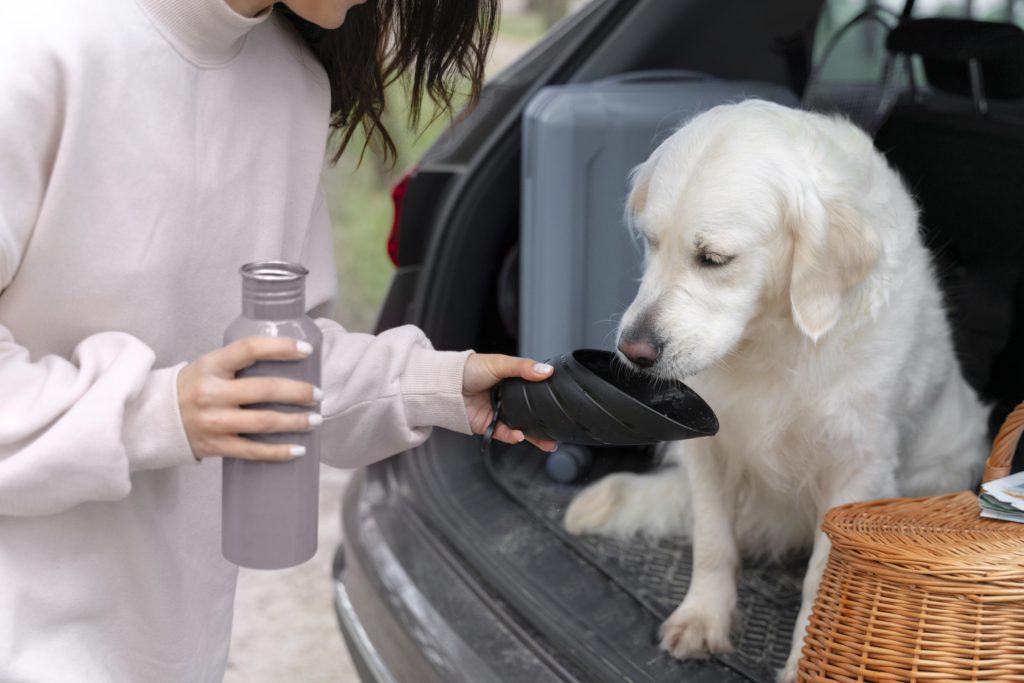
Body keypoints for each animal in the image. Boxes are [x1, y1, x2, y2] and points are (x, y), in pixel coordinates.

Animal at [565, 101, 987, 683]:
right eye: (651, 242)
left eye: (714, 258)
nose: (633, 350)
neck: (772, 336)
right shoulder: (708, 446)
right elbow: (713, 542)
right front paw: (703, 618)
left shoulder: (857, 467)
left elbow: (824, 575)